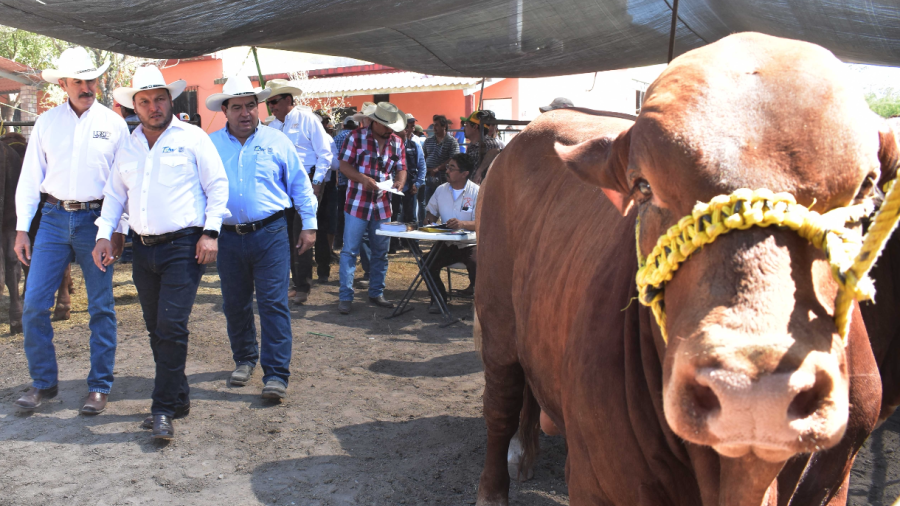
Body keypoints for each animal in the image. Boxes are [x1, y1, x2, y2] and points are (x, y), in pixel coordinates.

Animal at [472, 30, 892, 506]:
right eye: (642, 186)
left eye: (866, 188)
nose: (753, 390)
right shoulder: (595, 481)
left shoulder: (835, 475)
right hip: (497, 315)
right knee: (501, 401)